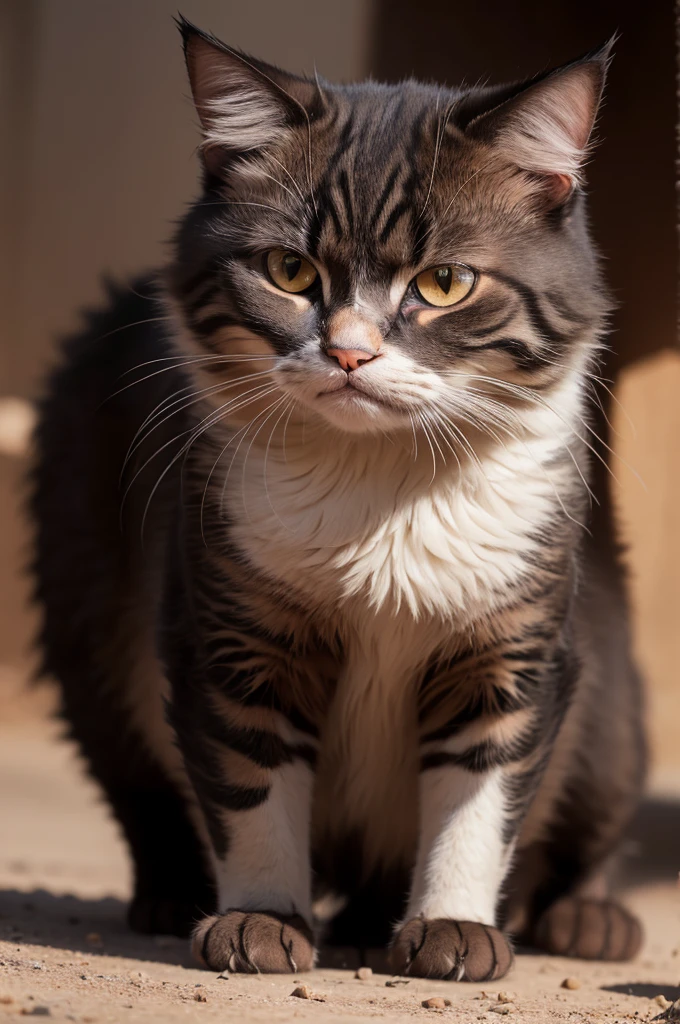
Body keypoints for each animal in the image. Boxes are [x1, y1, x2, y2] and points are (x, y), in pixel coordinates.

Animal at [29, 14, 647, 974]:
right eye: (288, 270)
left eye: (444, 283)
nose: (350, 353)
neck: (381, 487)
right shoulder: (231, 630)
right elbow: (252, 786)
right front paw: (261, 918)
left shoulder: (514, 645)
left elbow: (481, 797)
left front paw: (454, 924)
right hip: (85, 600)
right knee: (137, 783)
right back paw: (175, 896)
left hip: (613, 696)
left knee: (598, 813)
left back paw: (586, 918)